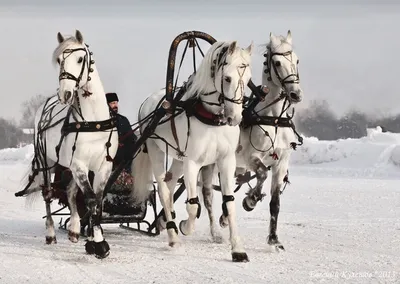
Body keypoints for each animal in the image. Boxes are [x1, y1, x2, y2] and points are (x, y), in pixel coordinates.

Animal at [15, 30, 119, 258]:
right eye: (59, 60)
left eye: (80, 59)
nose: (65, 94)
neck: (93, 121)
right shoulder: (79, 164)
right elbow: (90, 199)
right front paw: (99, 243)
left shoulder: (103, 166)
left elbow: (96, 201)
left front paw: (93, 240)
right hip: (47, 162)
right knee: (47, 193)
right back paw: (51, 234)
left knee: (71, 193)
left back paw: (74, 229)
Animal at [133, 40, 255, 262]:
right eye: (227, 78)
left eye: (248, 79)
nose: (235, 118)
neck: (212, 119)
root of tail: (148, 101)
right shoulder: (192, 162)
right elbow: (193, 205)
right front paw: (185, 227)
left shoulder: (226, 160)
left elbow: (229, 203)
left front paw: (237, 249)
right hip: (157, 150)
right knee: (163, 190)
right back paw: (173, 235)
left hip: (178, 158)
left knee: (169, 185)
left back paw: (167, 223)